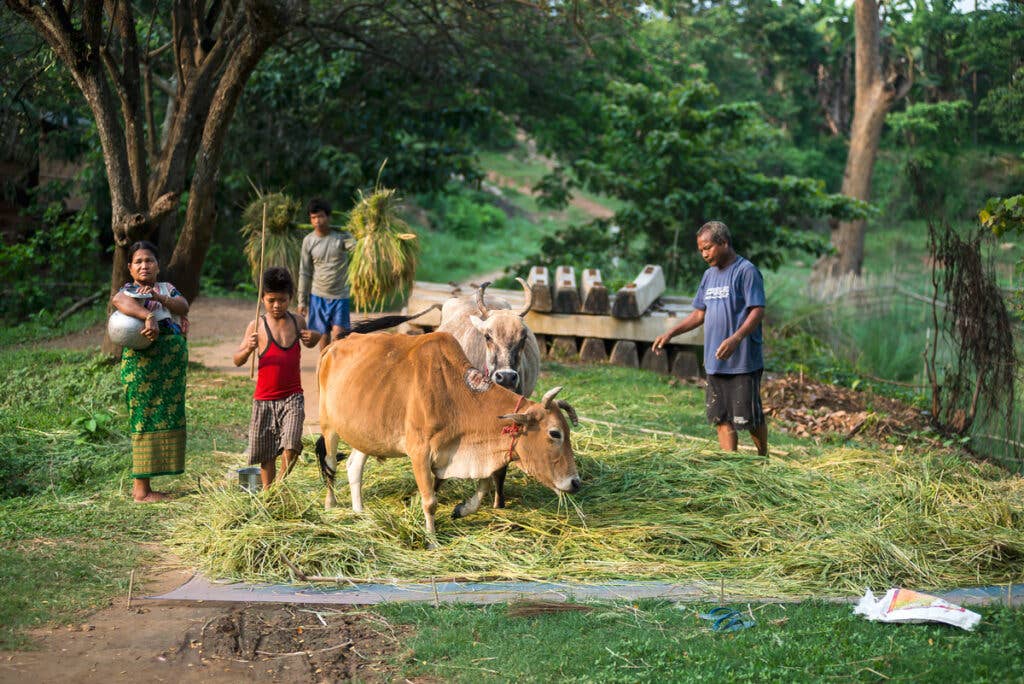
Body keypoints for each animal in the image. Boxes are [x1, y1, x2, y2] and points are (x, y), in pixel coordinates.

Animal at [315, 331, 581, 540]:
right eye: (554, 433)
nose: (575, 482)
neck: (456, 395)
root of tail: (334, 346)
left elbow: (485, 484)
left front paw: (462, 509)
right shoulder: (420, 453)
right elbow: (430, 501)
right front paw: (432, 538)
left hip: (366, 434)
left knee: (354, 466)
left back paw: (359, 511)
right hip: (328, 426)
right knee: (330, 466)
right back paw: (330, 505)